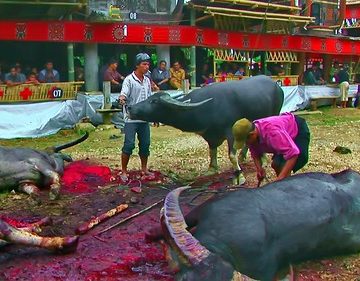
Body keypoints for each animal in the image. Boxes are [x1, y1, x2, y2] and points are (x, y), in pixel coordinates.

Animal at [129, 75, 284, 184]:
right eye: (150, 97)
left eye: (154, 101)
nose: (130, 107)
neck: (207, 107)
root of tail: (276, 85)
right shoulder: (210, 135)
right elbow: (212, 151)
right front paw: (211, 169)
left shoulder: (230, 131)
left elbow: (231, 156)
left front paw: (239, 176)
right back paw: (245, 156)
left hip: (273, 114)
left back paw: (263, 159)